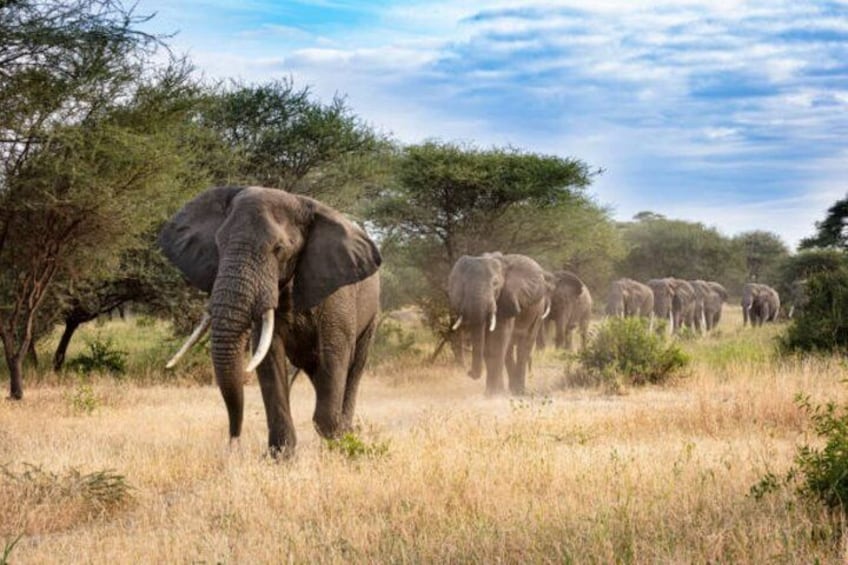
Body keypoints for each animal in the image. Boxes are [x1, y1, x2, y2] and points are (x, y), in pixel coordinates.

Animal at [158, 186, 381, 457]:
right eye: (219, 245)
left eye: (279, 249)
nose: (233, 443)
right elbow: (269, 357)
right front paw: (281, 458)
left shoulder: (338, 296)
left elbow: (334, 353)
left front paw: (335, 448)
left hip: (372, 316)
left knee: (353, 368)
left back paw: (346, 434)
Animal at [448, 252, 548, 395]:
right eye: (464, 285)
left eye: (495, 284)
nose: (469, 372)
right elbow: (488, 346)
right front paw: (493, 393)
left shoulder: (507, 299)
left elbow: (497, 338)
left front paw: (492, 395)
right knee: (509, 350)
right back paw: (511, 389)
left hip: (538, 311)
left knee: (524, 345)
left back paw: (518, 391)